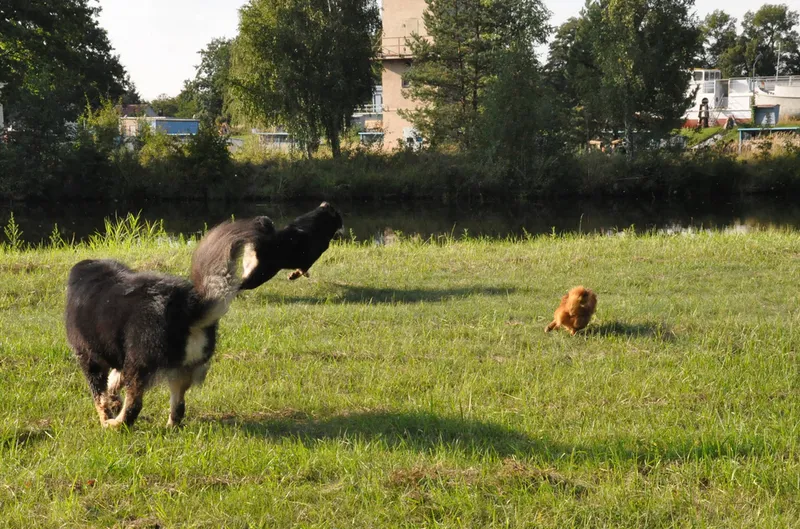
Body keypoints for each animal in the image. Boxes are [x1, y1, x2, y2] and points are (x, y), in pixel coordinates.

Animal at [65, 216, 275, 428]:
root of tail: (188, 306)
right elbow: (113, 381)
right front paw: (114, 398)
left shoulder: (90, 359)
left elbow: (100, 397)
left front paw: (105, 415)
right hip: (181, 370)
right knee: (179, 404)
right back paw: (170, 426)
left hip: (139, 365)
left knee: (134, 405)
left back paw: (115, 424)